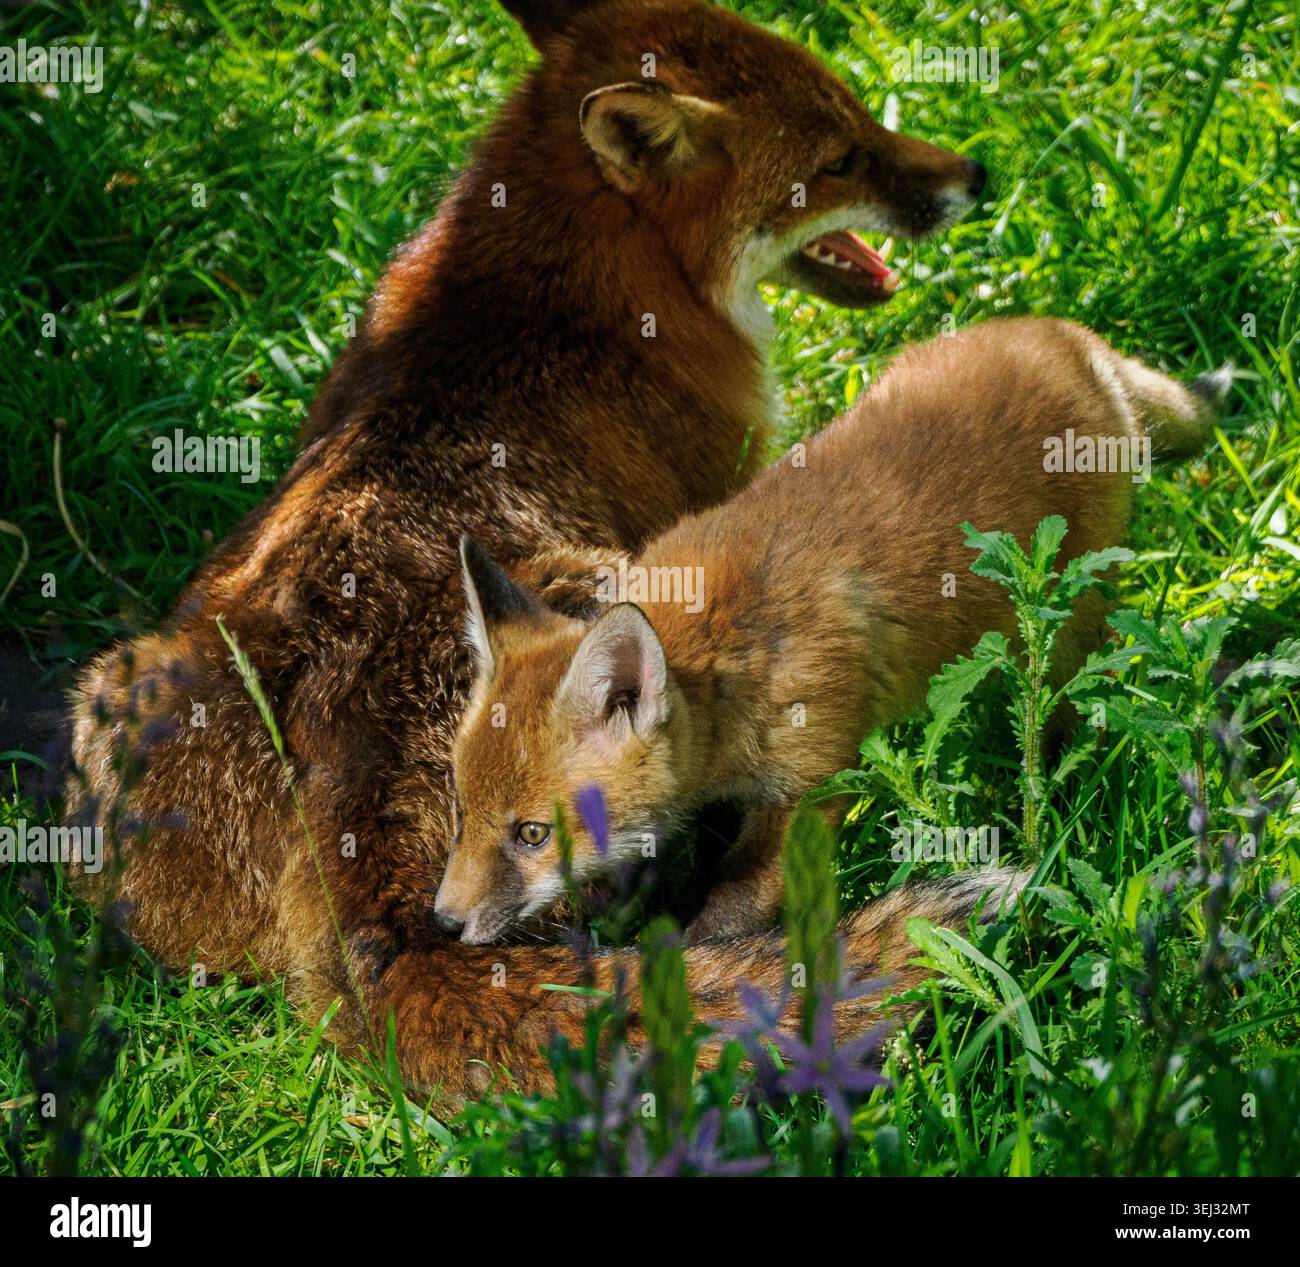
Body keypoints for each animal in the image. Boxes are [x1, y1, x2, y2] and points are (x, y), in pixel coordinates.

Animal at [65, 0, 988, 1097]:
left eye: (860, 117)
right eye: (842, 157)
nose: (976, 175)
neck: (559, 278)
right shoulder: (726, 496)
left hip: (114, 696)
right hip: (621, 604)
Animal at [438, 316, 1230, 945]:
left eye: (532, 834)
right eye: (462, 809)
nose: (441, 922)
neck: (727, 660)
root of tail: (1064, 336)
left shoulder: (814, 776)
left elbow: (735, 905)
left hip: (1067, 622)